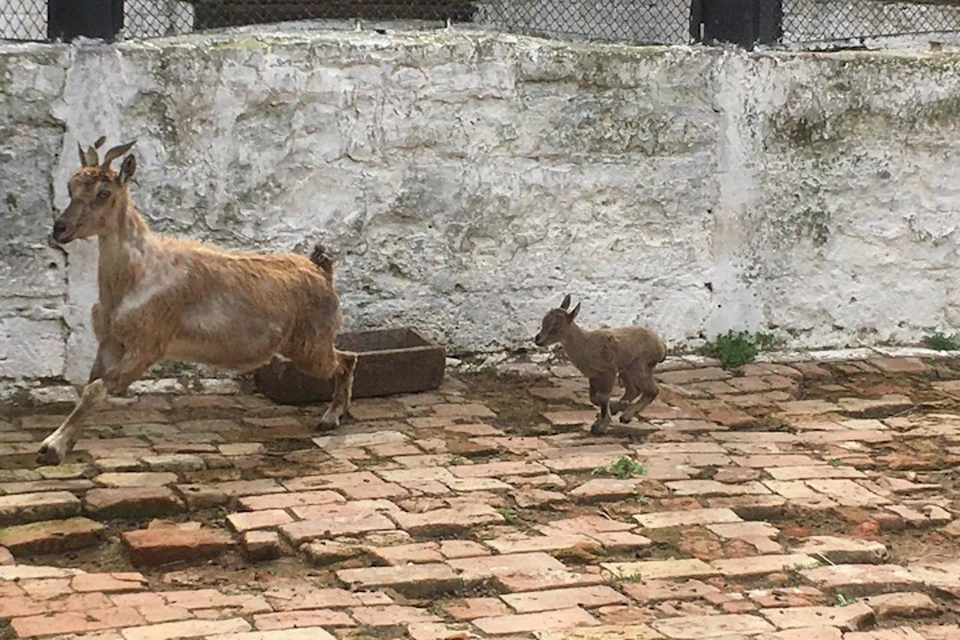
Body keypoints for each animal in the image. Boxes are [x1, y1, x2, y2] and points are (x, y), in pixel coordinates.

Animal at [38, 138, 360, 462]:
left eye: (103, 193)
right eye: (70, 187)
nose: (60, 228)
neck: (135, 277)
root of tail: (322, 271)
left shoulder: (148, 345)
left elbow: (94, 389)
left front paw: (51, 447)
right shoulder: (110, 342)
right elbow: (89, 388)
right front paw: (66, 441)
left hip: (311, 344)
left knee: (347, 359)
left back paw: (331, 417)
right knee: (347, 357)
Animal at [532, 296, 668, 436]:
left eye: (555, 327)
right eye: (543, 322)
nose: (538, 339)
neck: (585, 344)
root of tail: (662, 347)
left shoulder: (608, 371)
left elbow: (603, 397)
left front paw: (601, 427)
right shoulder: (593, 375)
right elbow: (594, 398)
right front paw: (603, 417)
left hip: (639, 366)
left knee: (652, 390)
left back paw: (626, 416)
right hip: (626, 369)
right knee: (633, 390)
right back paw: (619, 407)